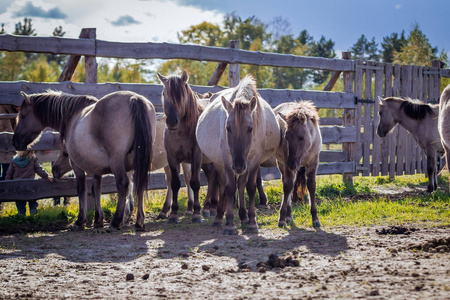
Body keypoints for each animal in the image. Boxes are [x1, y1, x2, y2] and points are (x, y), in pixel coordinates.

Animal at [12, 89, 156, 230]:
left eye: (23, 115)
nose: (15, 142)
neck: (72, 117)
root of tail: (134, 98)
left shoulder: (77, 166)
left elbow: (81, 189)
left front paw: (80, 221)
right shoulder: (97, 169)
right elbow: (96, 189)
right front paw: (98, 220)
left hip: (117, 163)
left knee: (123, 184)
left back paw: (115, 222)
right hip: (138, 163)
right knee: (139, 186)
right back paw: (139, 222)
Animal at [51, 112, 195, 218]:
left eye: (66, 153)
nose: (54, 170)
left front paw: (126, 213)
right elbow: (130, 185)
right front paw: (128, 211)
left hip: (183, 161)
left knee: (187, 179)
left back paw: (189, 208)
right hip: (168, 162)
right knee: (170, 181)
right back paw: (164, 211)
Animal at [157, 71, 219, 224]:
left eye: (181, 95)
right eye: (164, 94)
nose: (172, 122)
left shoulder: (196, 157)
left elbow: (195, 183)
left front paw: (196, 214)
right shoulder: (172, 158)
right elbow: (175, 184)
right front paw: (173, 214)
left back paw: (211, 208)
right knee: (212, 177)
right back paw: (209, 208)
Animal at [197, 74, 282, 234]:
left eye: (250, 128)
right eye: (227, 128)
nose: (237, 165)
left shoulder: (254, 160)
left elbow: (251, 187)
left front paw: (252, 222)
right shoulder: (227, 159)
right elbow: (230, 188)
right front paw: (229, 223)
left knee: (241, 185)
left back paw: (243, 217)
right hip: (220, 163)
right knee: (222, 184)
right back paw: (219, 217)